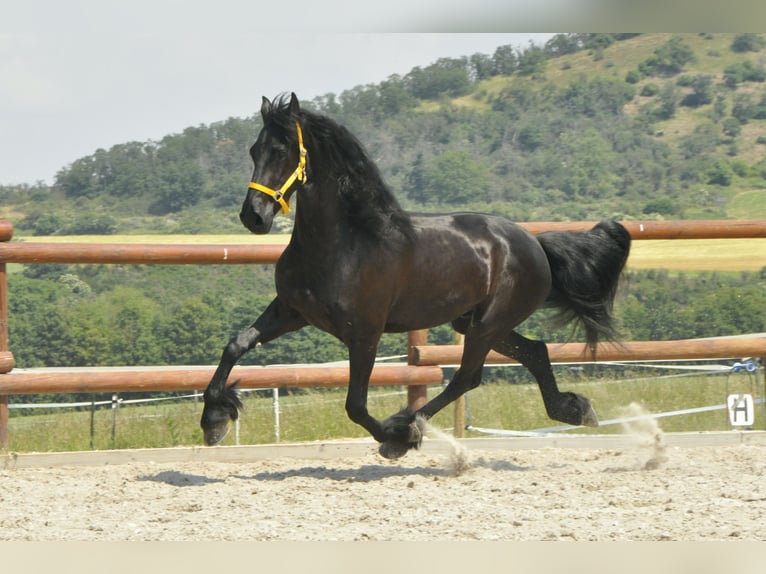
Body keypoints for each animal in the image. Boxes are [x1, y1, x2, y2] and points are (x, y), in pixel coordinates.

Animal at [202, 95, 632, 464]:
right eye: (254, 150)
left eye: (282, 150)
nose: (253, 216)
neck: (345, 243)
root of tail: (534, 243)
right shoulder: (292, 312)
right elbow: (236, 344)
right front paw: (213, 420)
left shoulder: (365, 333)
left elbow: (355, 405)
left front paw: (395, 437)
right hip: (476, 322)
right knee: (536, 353)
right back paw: (575, 409)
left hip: (489, 323)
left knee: (466, 377)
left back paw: (407, 430)